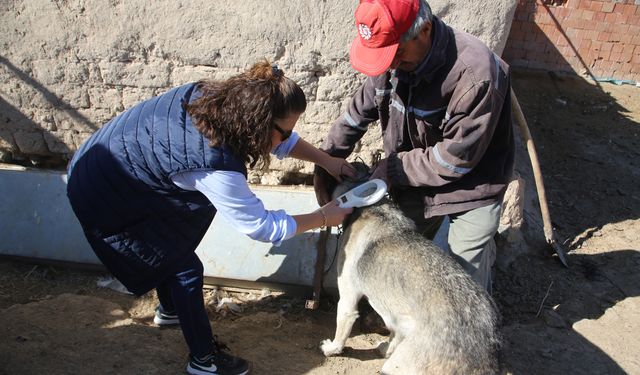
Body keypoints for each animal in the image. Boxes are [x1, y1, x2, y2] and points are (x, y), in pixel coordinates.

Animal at [320, 163, 500, 375]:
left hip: (399, 364)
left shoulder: (348, 299)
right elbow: (394, 335)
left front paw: (332, 349)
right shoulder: (399, 317)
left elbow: (341, 330)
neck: (372, 206)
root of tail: (484, 351)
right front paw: (385, 348)